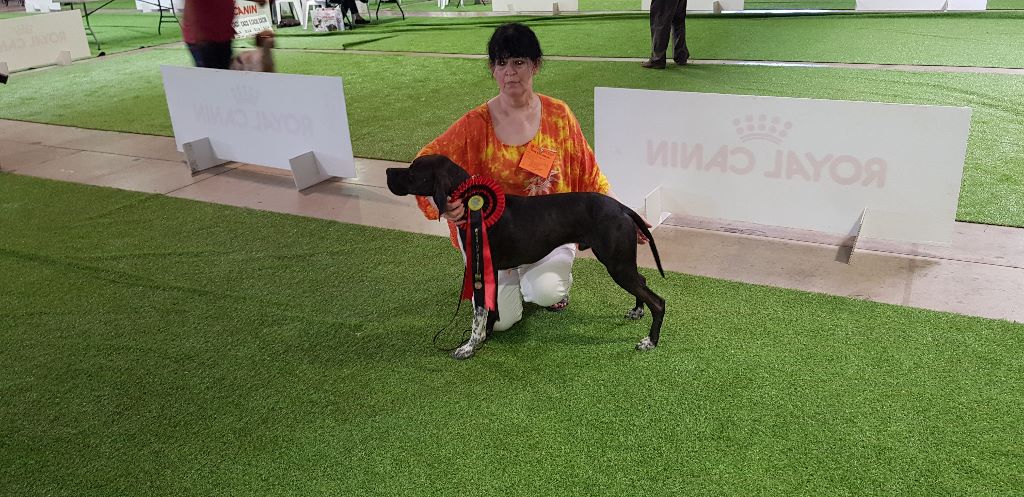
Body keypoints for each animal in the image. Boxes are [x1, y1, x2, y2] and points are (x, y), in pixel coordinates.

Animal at [386, 154, 666, 359]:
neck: (473, 206)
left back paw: (650, 341)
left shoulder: (480, 270)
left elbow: (478, 315)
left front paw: (469, 346)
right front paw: (487, 335)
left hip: (617, 265)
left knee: (658, 301)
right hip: (621, 262)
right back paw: (637, 311)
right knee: (643, 281)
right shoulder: (490, 271)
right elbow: (491, 310)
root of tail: (622, 207)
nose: (388, 171)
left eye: (413, 171)